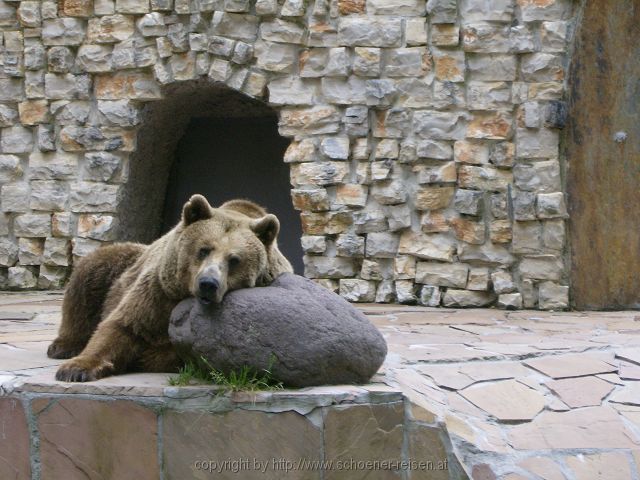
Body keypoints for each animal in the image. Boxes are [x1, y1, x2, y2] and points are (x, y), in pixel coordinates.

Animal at [51, 195, 294, 382]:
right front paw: (76, 369)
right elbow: (122, 325)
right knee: (89, 274)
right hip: (120, 265)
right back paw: (63, 346)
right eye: (204, 249)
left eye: (234, 259)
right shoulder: (159, 291)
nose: (208, 283)